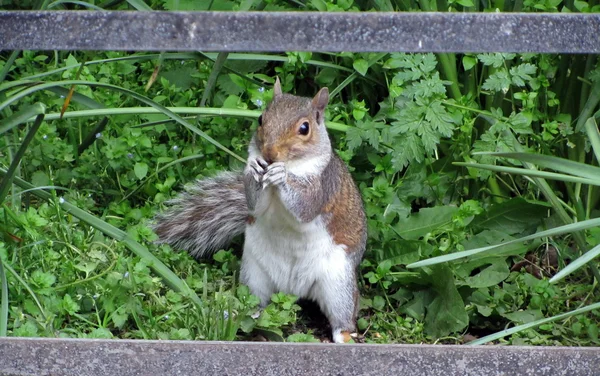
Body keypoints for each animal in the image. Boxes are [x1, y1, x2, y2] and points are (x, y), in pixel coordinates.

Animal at [155, 79, 368, 344]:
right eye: (260, 118)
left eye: (305, 128)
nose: (269, 154)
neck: (292, 165)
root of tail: (292, 290)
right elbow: (254, 203)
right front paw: (256, 169)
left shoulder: (323, 185)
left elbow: (306, 207)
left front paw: (282, 176)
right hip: (254, 274)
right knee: (255, 303)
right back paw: (240, 314)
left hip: (338, 284)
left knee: (344, 316)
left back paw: (345, 336)